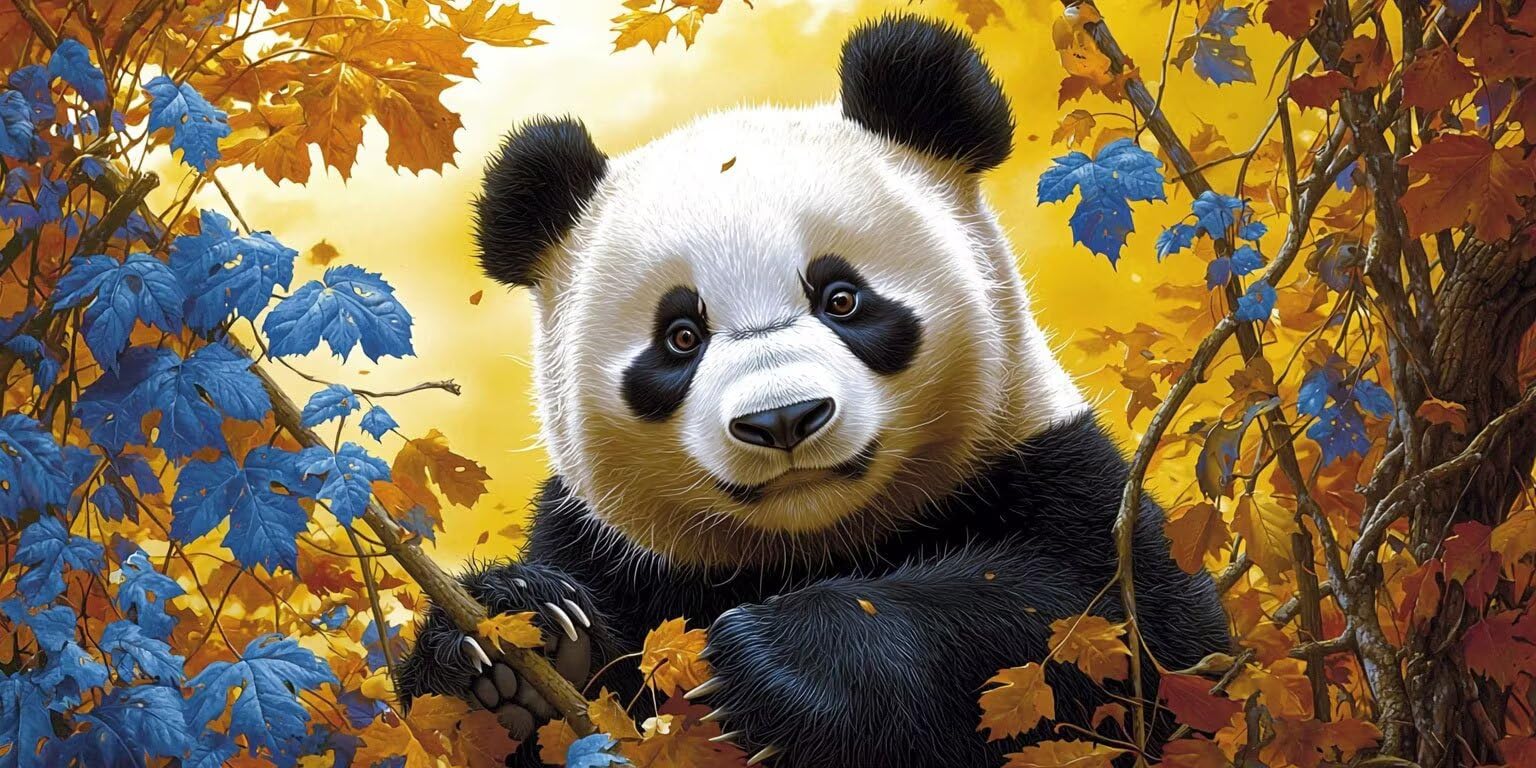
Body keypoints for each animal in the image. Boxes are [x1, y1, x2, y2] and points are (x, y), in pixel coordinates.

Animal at [395, 14, 1230, 768]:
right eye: (680, 337)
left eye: (842, 298)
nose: (783, 419)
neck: (809, 542)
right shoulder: (609, 545)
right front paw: (514, 641)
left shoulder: (1057, 474)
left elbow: (1107, 636)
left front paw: (781, 662)